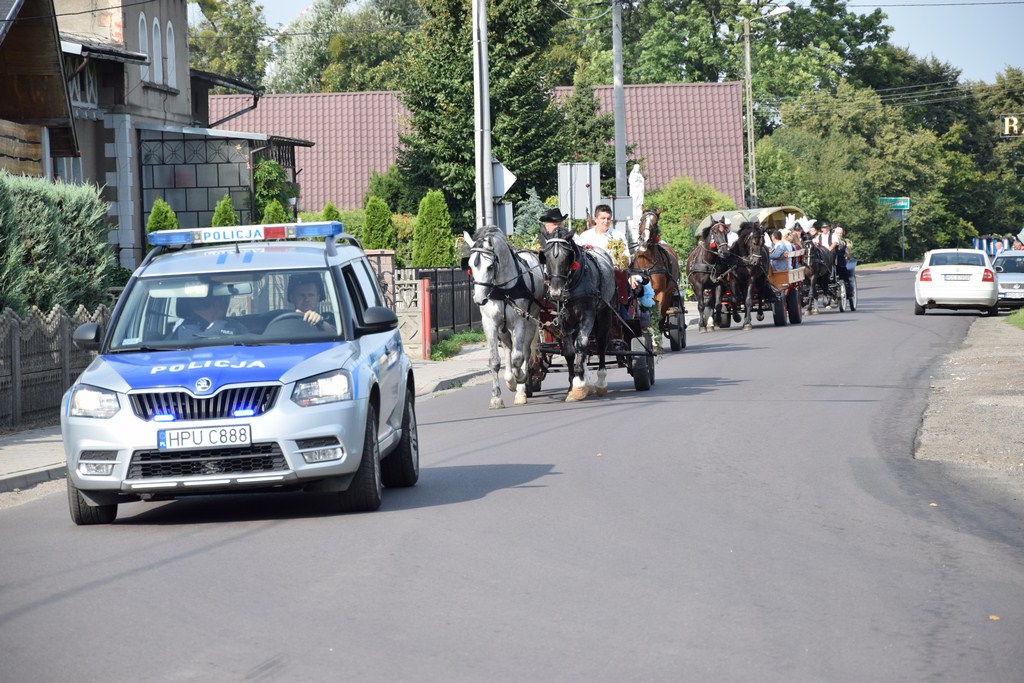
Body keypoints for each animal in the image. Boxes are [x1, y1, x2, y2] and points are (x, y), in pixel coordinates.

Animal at [462, 229, 544, 409]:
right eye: (470, 267)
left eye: (490, 266)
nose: (479, 299)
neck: (503, 290)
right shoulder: (490, 324)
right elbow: (494, 360)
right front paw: (496, 397)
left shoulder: (520, 321)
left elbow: (518, 358)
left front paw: (520, 378)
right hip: (503, 329)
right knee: (508, 348)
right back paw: (510, 380)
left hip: (531, 321)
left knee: (524, 351)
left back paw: (520, 387)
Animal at [536, 228, 614, 401]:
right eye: (546, 255)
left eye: (567, 256)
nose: (556, 292)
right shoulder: (562, 320)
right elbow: (569, 351)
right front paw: (573, 385)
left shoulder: (588, 314)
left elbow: (581, 343)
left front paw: (579, 382)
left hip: (604, 313)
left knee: (601, 342)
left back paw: (600, 382)